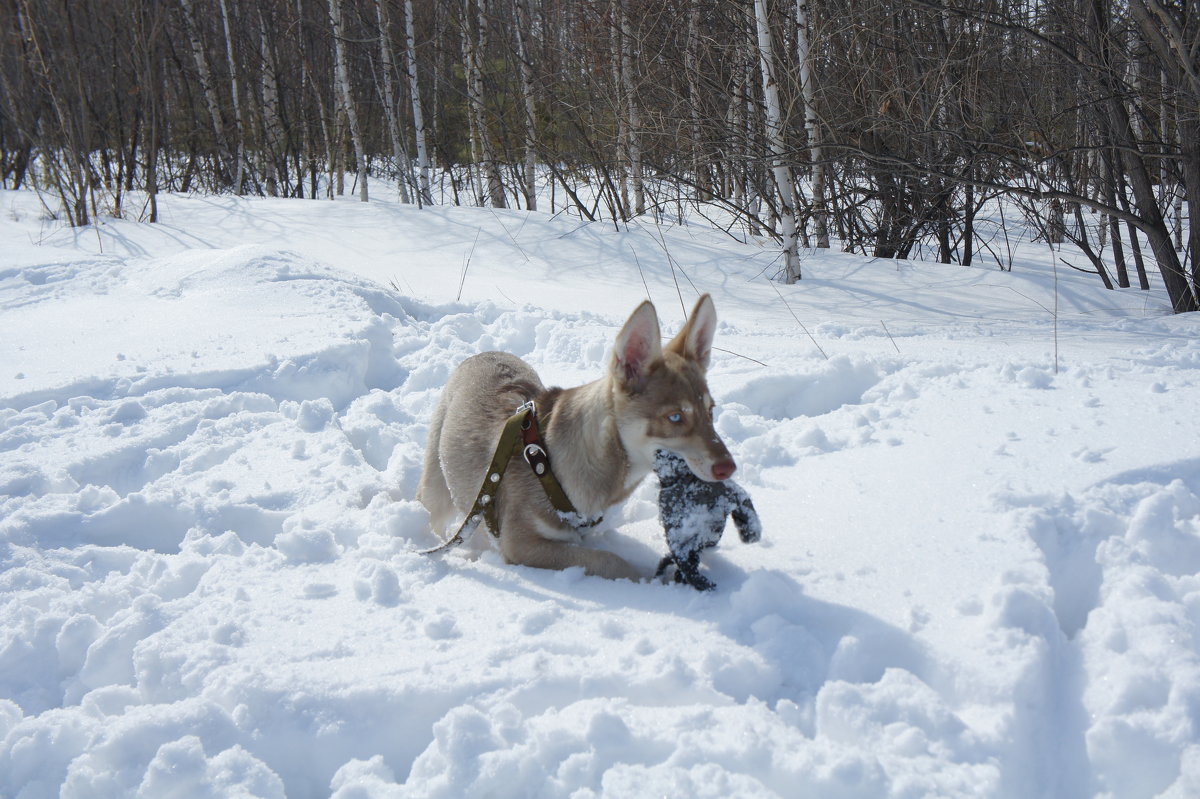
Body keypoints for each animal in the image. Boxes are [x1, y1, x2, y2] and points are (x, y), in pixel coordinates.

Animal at [422, 292, 739, 578]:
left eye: (710, 411)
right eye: (675, 417)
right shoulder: (520, 544)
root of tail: (485, 352)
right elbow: (610, 560)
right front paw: (649, 583)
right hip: (437, 490)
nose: (729, 468)